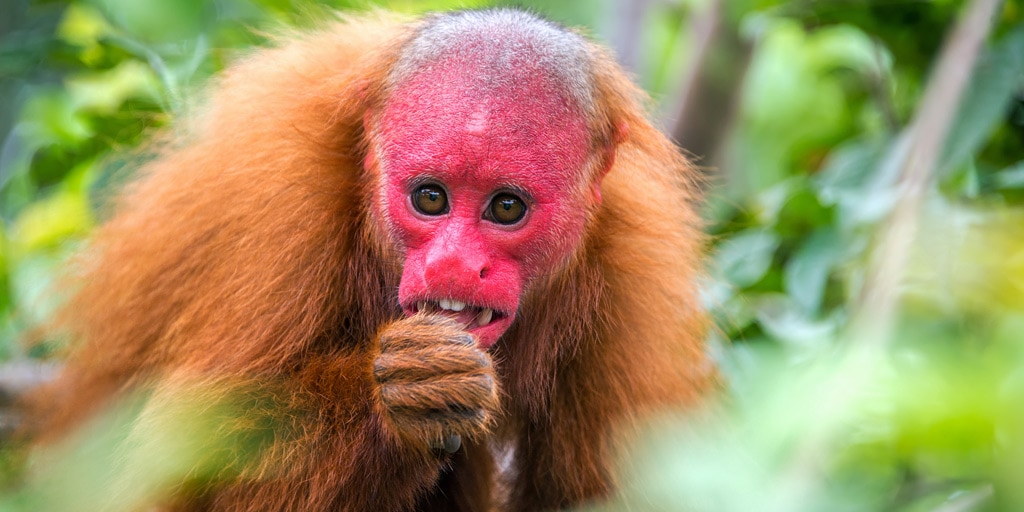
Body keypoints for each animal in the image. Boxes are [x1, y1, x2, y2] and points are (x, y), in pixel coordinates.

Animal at [25, 8, 712, 512]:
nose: (454, 265)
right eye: (430, 197)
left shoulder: (631, 273)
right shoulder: (279, 211)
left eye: (507, 208)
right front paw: (402, 398)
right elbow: (180, 474)